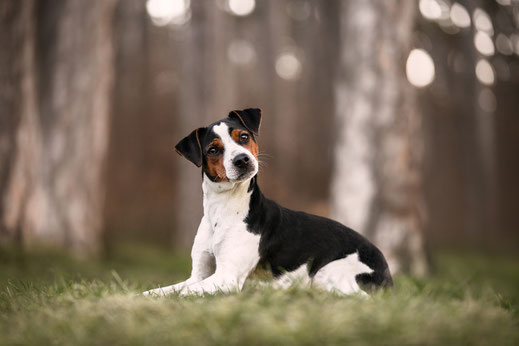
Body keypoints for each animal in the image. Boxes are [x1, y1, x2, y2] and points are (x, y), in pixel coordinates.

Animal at [143, 109, 394, 298]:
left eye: (244, 137)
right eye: (213, 150)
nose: (242, 160)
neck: (223, 210)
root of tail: (387, 271)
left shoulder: (226, 277)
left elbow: (182, 293)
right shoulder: (198, 275)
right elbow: (159, 291)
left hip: (329, 274)